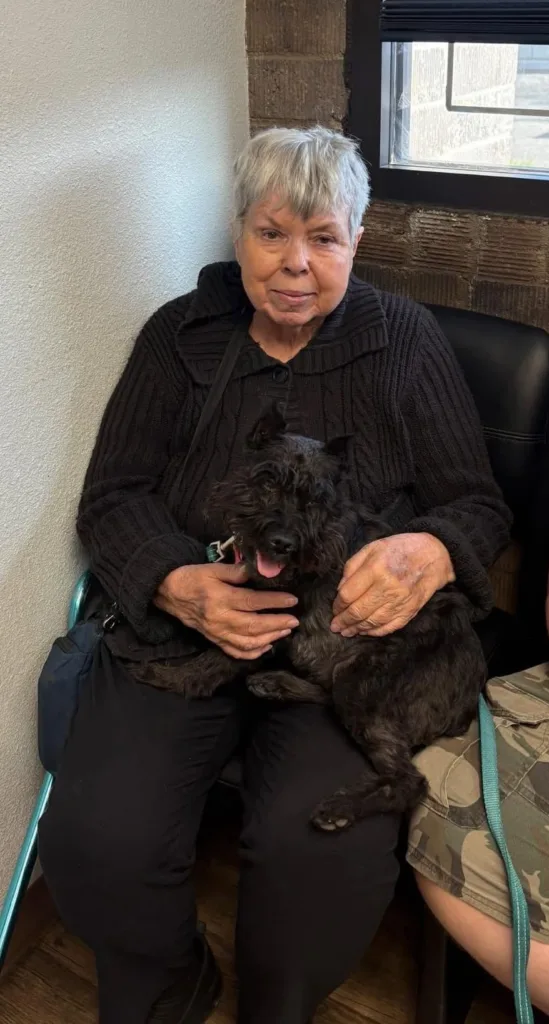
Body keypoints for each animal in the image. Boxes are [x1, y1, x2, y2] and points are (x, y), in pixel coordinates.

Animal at [157, 404, 486, 831]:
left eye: (315, 500)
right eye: (268, 483)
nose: (283, 543)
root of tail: (468, 701)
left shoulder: (268, 619)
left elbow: (214, 661)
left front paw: (163, 676)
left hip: (360, 681)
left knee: (409, 781)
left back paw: (341, 808)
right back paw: (276, 683)